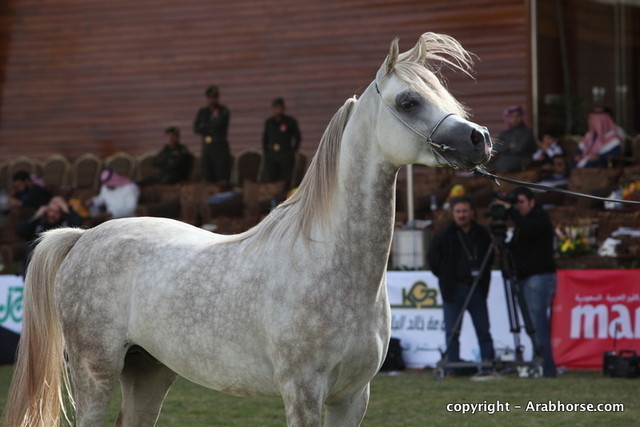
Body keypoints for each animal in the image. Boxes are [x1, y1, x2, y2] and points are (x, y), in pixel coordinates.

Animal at [2, 32, 492, 427]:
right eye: (409, 101)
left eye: (445, 95)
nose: (480, 139)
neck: (330, 263)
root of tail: (83, 237)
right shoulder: (302, 393)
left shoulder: (352, 397)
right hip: (95, 373)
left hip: (149, 371)